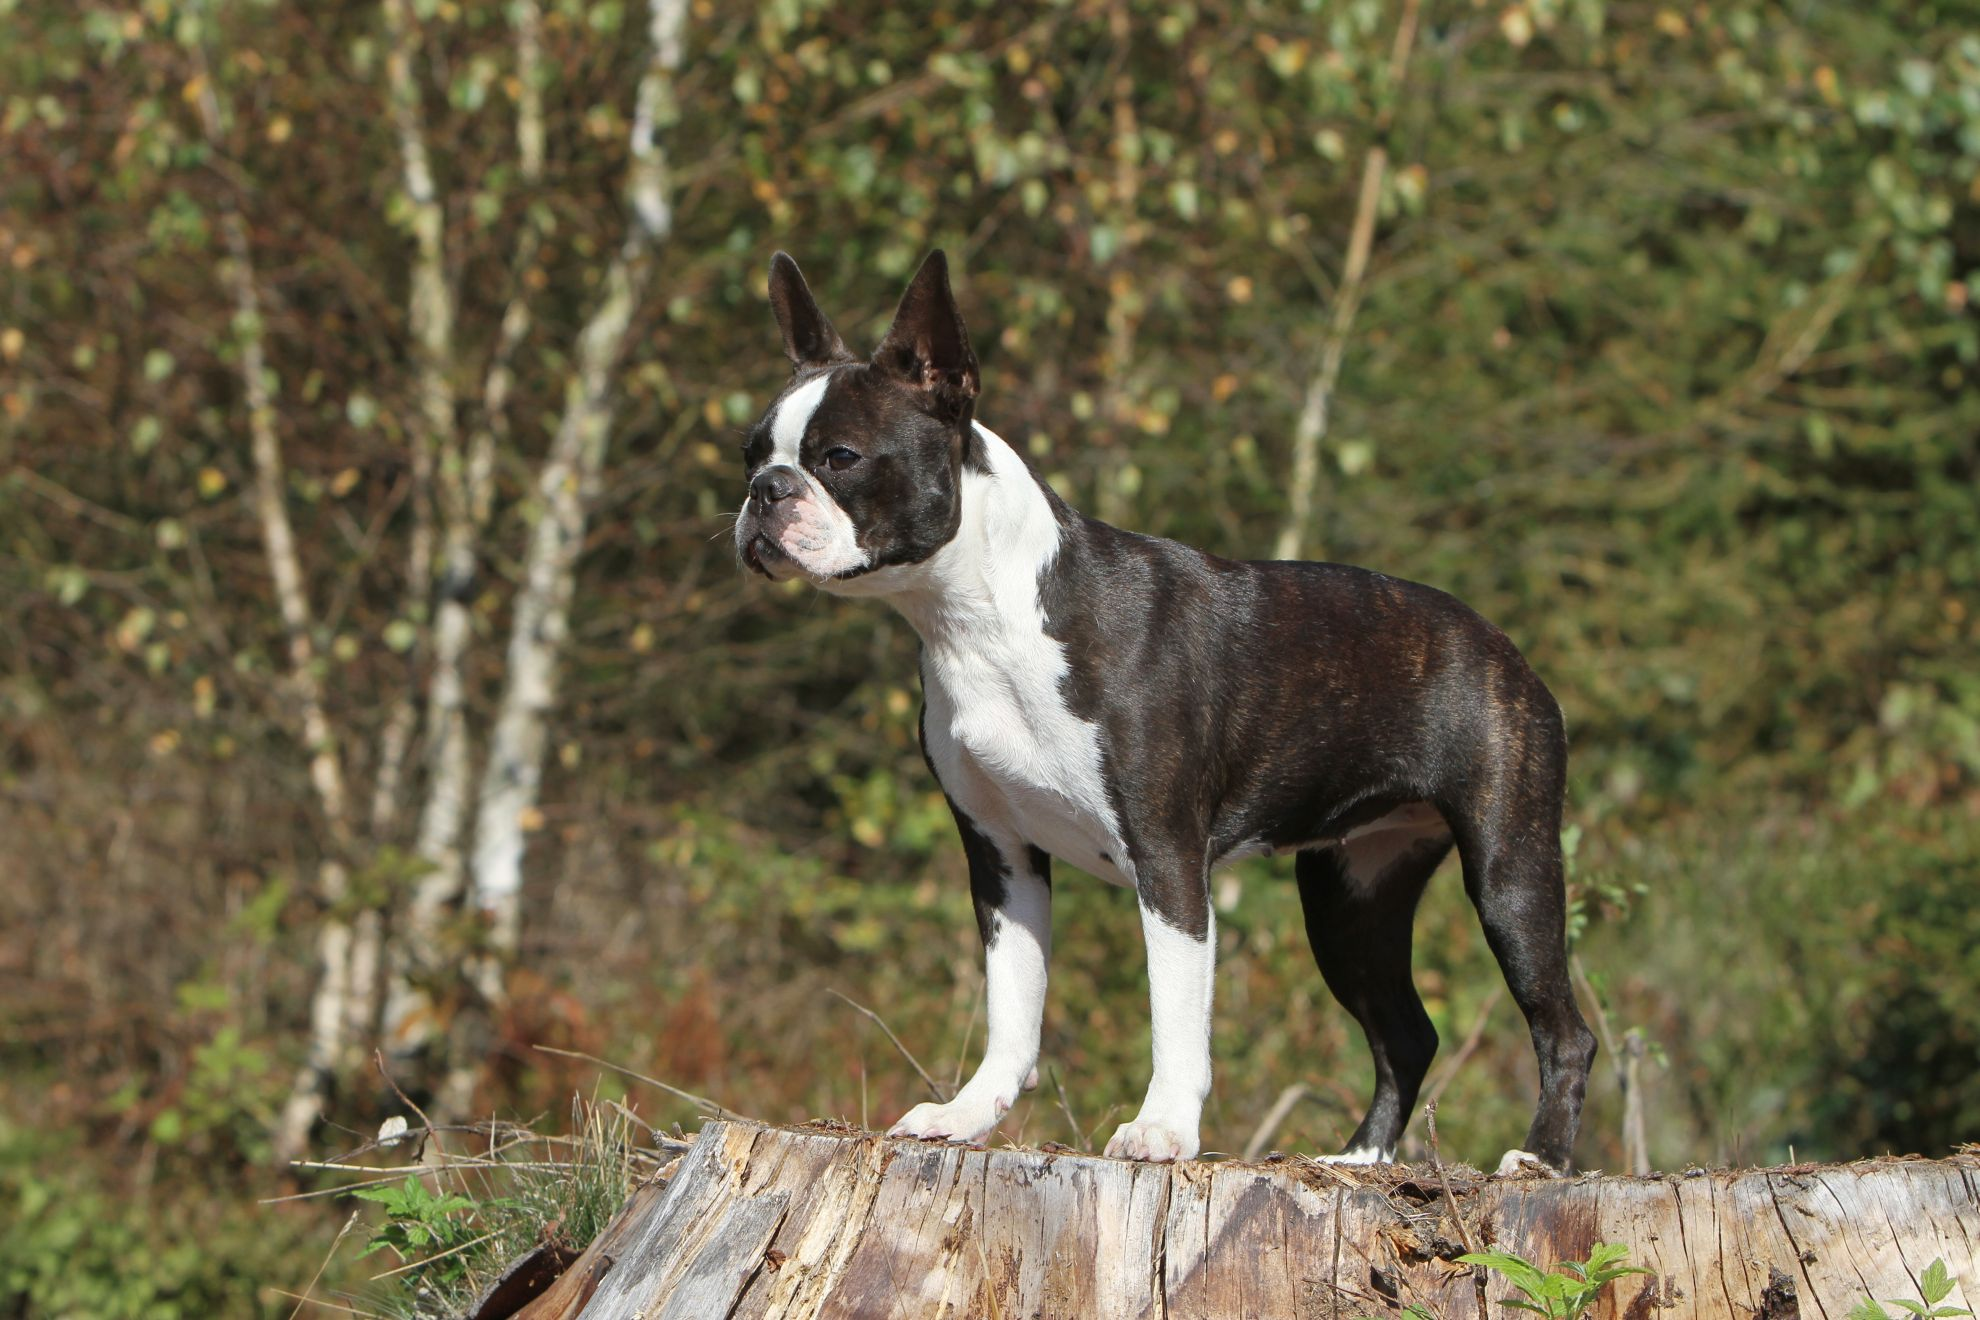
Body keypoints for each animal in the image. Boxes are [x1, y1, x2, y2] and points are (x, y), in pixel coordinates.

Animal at [736, 253, 1599, 1171]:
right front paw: (967, 1116)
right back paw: (1358, 1160)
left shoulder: (1168, 857)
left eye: (840, 457)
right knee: (1405, 1031)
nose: (763, 491)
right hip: (1351, 897)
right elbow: (1014, 1008)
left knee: (1563, 1029)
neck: (979, 619)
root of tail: (1503, 644)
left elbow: (1175, 1016)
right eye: (749, 453)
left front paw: (1163, 1129)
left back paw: (1539, 1157)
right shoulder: (1000, 856)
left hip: (1507, 867)